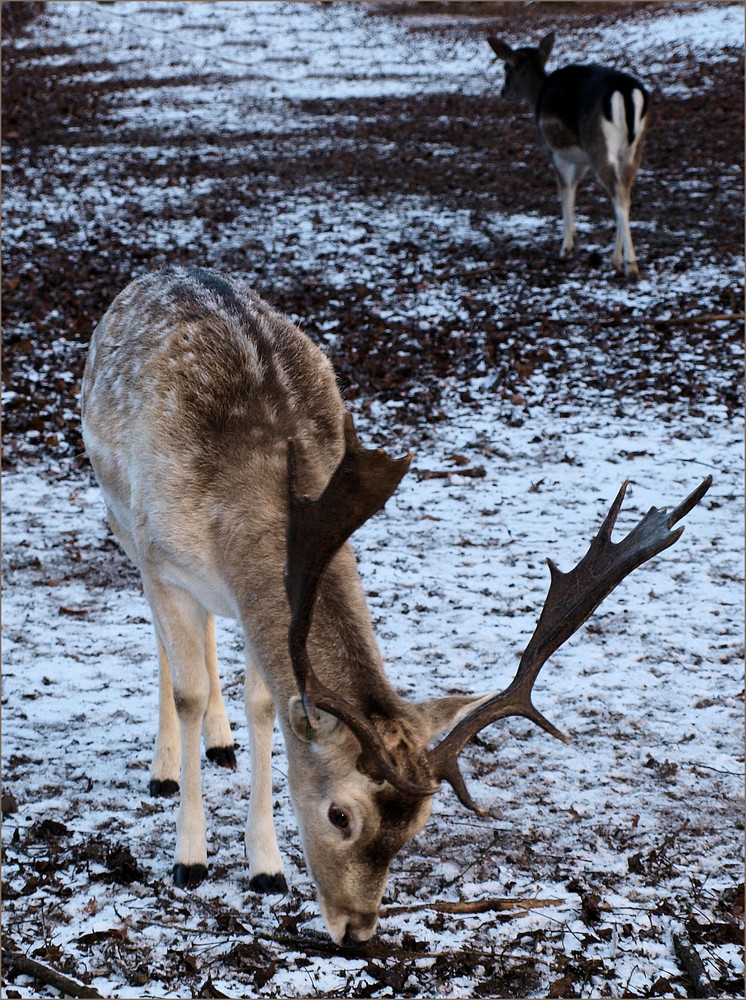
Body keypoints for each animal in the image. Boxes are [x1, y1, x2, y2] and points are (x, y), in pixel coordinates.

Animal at [81, 266, 708, 944]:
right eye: (339, 815)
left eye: (417, 826)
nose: (358, 932)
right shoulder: (161, 558)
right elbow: (188, 691)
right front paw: (190, 859)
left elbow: (264, 706)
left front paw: (266, 867)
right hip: (120, 519)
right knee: (168, 647)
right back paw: (167, 768)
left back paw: (220, 745)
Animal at [486, 32, 648, 278]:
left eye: (506, 67)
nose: (503, 92)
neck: (537, 96)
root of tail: (626, 92)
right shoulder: (581, 159)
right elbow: (574, 187)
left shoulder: (554, 151)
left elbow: (565, 190)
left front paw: (566, 247)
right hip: (633, 149)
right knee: (626, 192)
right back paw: (615, 260)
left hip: (599, 146)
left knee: (619, 195)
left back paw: (630, 264)